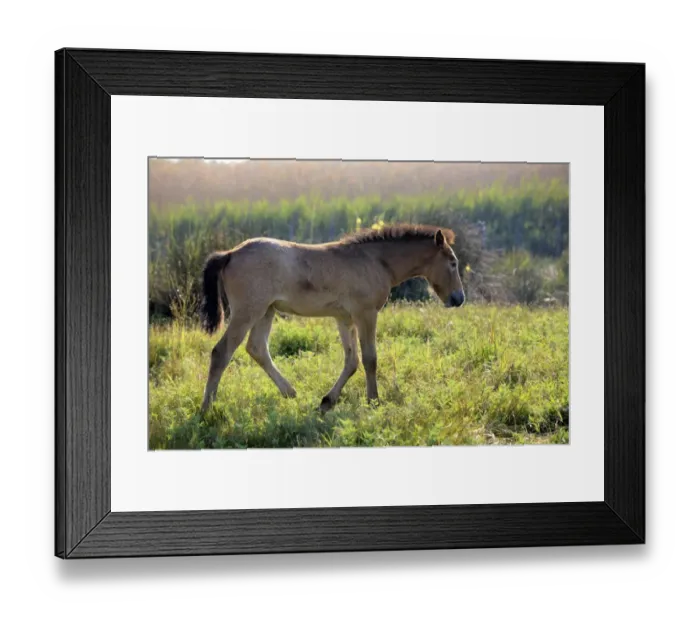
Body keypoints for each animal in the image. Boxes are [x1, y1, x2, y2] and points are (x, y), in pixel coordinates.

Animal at [199, 223, 466, 412]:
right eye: (453, 263)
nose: (459, 298)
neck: (375, 261)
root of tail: (230, 253)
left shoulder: (344, 319)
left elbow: (352, 361)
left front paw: (327, 401)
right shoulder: (365, 314)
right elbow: (370, 359)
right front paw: (374, 401)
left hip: (267, 311)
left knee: (257, 348)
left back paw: (290, 392)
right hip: (248, 311)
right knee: (221, 352)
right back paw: (207, 409)